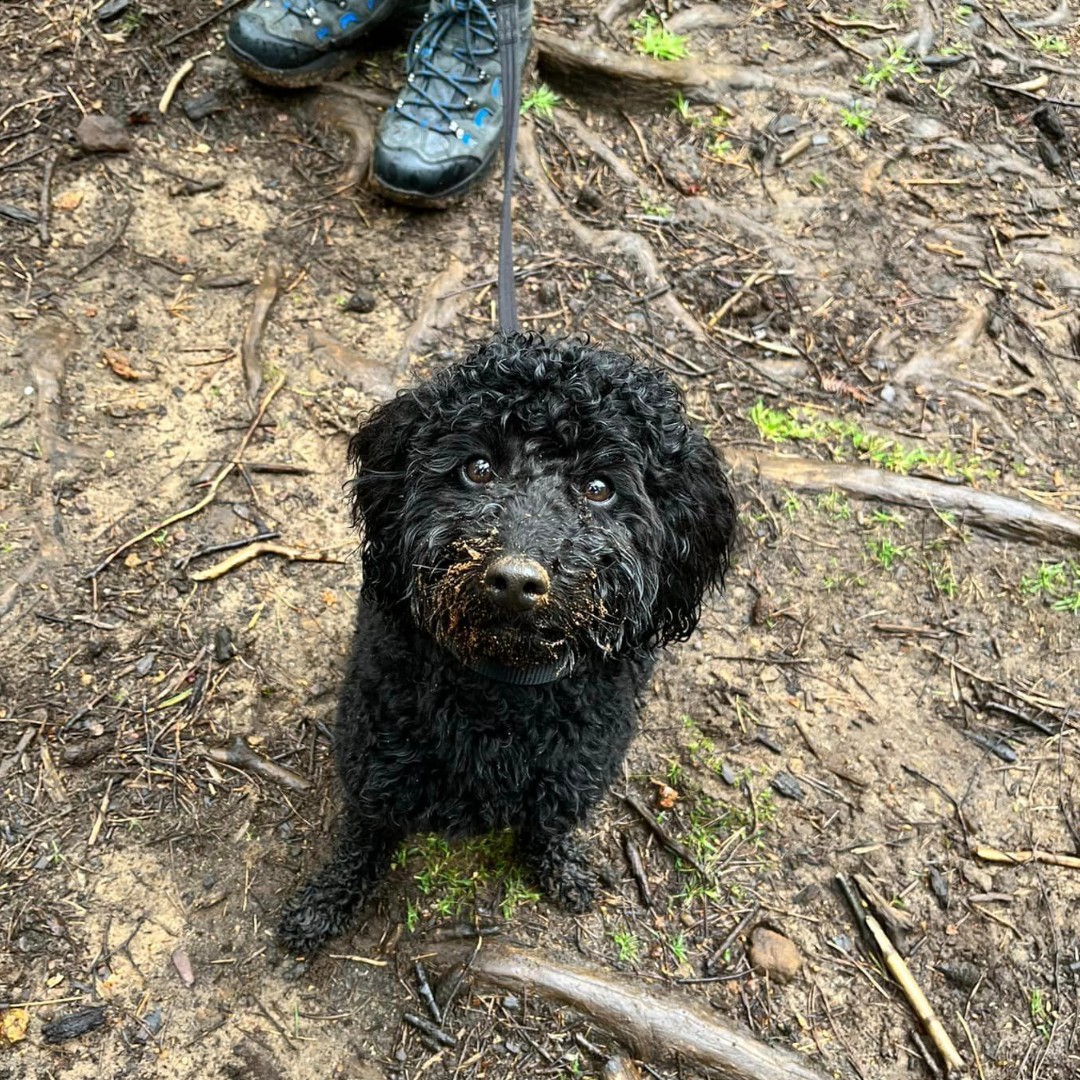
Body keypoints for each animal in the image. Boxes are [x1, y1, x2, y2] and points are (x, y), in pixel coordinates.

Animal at [274, 332, 738, 950]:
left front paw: (561, 869)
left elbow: (548, 825)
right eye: (478, 468)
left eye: (598, 488)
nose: (517, 581)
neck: (504, 691)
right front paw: (325, 903)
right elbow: (363, 837)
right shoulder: (377, 761)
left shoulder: (575, 768)